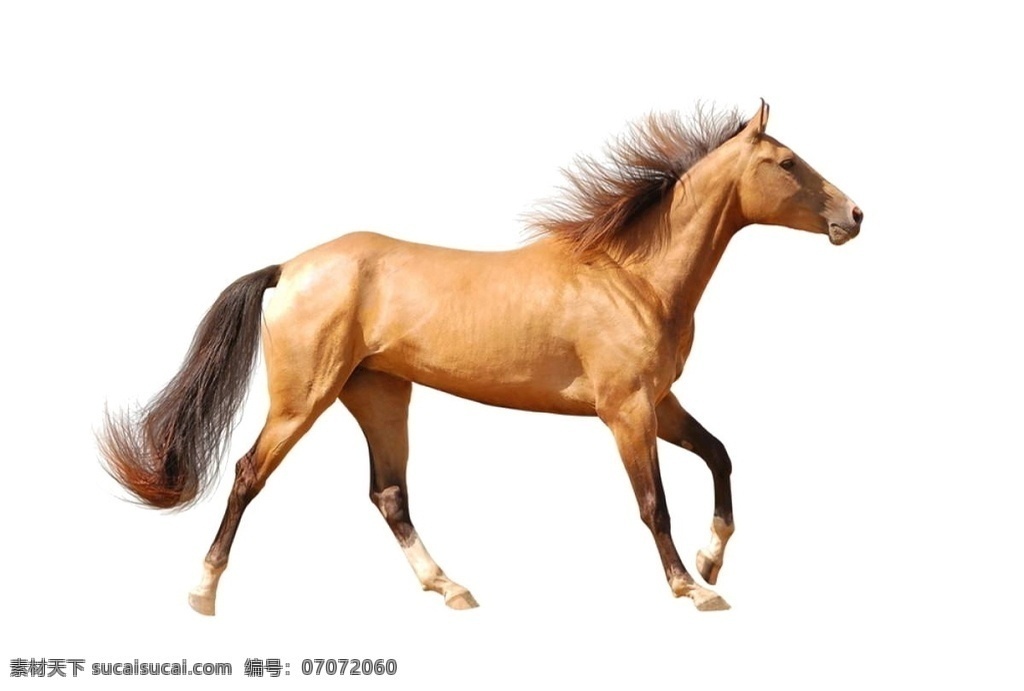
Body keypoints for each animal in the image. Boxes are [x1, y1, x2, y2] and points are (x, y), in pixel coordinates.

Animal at [100, 101, 862, 615]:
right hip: (302, 398)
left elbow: (720, 455)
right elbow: (654, 504)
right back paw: (203, 591)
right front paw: (691, 588)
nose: (853, 216)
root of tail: (288, 269)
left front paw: (712, 560)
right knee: (248, 473)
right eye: (787, 162)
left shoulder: (659, 401)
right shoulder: (625, 410)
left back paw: (450, 587)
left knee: (389, 494)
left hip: (379, 395)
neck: (631, 275)